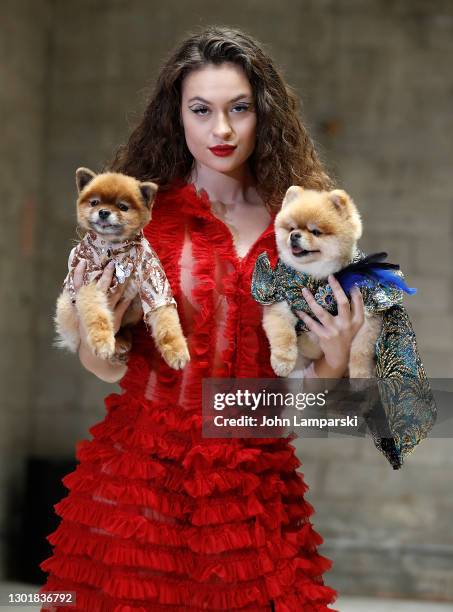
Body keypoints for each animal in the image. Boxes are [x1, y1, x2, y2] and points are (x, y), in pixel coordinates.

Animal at [53, 165, 190, 370]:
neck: (115, 248)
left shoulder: (154, 283)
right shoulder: (90, 283)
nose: (103, 212)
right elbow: (97, 315)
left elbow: (167, 321)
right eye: (94, 202)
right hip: (66, 307)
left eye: (123, 207)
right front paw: (103, 342)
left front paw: (176, 350)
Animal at [262, 186, 382, 378]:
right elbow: (282, 333)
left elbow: (361, 351)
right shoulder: (279, 299)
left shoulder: (369, 313)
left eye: (315, 232)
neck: (316, 273)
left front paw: (361, 375)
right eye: (291, 228)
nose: (294, 235)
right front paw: (282, 361)